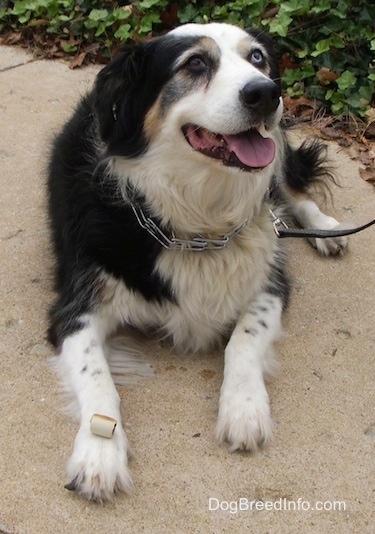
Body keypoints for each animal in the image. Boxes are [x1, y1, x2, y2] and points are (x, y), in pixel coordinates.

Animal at [47, 22, 350, 502]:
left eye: (258, 58)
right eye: (194, 64)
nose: (267, 93)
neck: (199, 227)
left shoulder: (270, 281)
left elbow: (243, 339)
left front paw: (244, 409)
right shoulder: (75, 307)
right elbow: (97, 379)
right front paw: (99, 456)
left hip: (278, 145)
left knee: (290, 186)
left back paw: (325, 230)